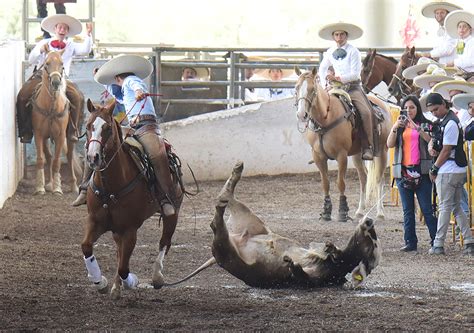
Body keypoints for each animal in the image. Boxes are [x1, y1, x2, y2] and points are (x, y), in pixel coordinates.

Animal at [80, 98, 184, 298]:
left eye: (107, 128)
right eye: (88, 126)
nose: (93, 157)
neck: (110, 186)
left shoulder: (130, 229)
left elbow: (124, 268)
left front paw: (132, 282)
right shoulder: (95, 221)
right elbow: (87, 247)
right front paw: (100, 282)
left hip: (173, 211)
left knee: (164, 242)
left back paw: (157, 277)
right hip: (116, 229)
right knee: (119, 252)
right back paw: (115, 288)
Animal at [168, 161, 382, 288]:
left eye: (373, 244)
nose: (369, 222)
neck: (339, 263)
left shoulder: (312, 279)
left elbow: (300, 275)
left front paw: (292, 262)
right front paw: (328, 247)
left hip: (225, 247)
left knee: (216, 220)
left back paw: (224, 199)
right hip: (251, 221)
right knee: (227, 197)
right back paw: (237, 170)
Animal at [296, 68, 392, 220]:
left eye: (312, 89)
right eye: (296, 88)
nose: (301, 115)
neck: (326, 119)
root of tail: (383, 106)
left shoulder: (341, 155)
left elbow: (341, 183)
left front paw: (342, 211)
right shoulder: (318, 157)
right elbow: (325, 184)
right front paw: (326, 212)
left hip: (382, 151)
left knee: (378, 179)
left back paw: (380, 212)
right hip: (358, 154)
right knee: (364, 178)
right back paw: (360, 210)